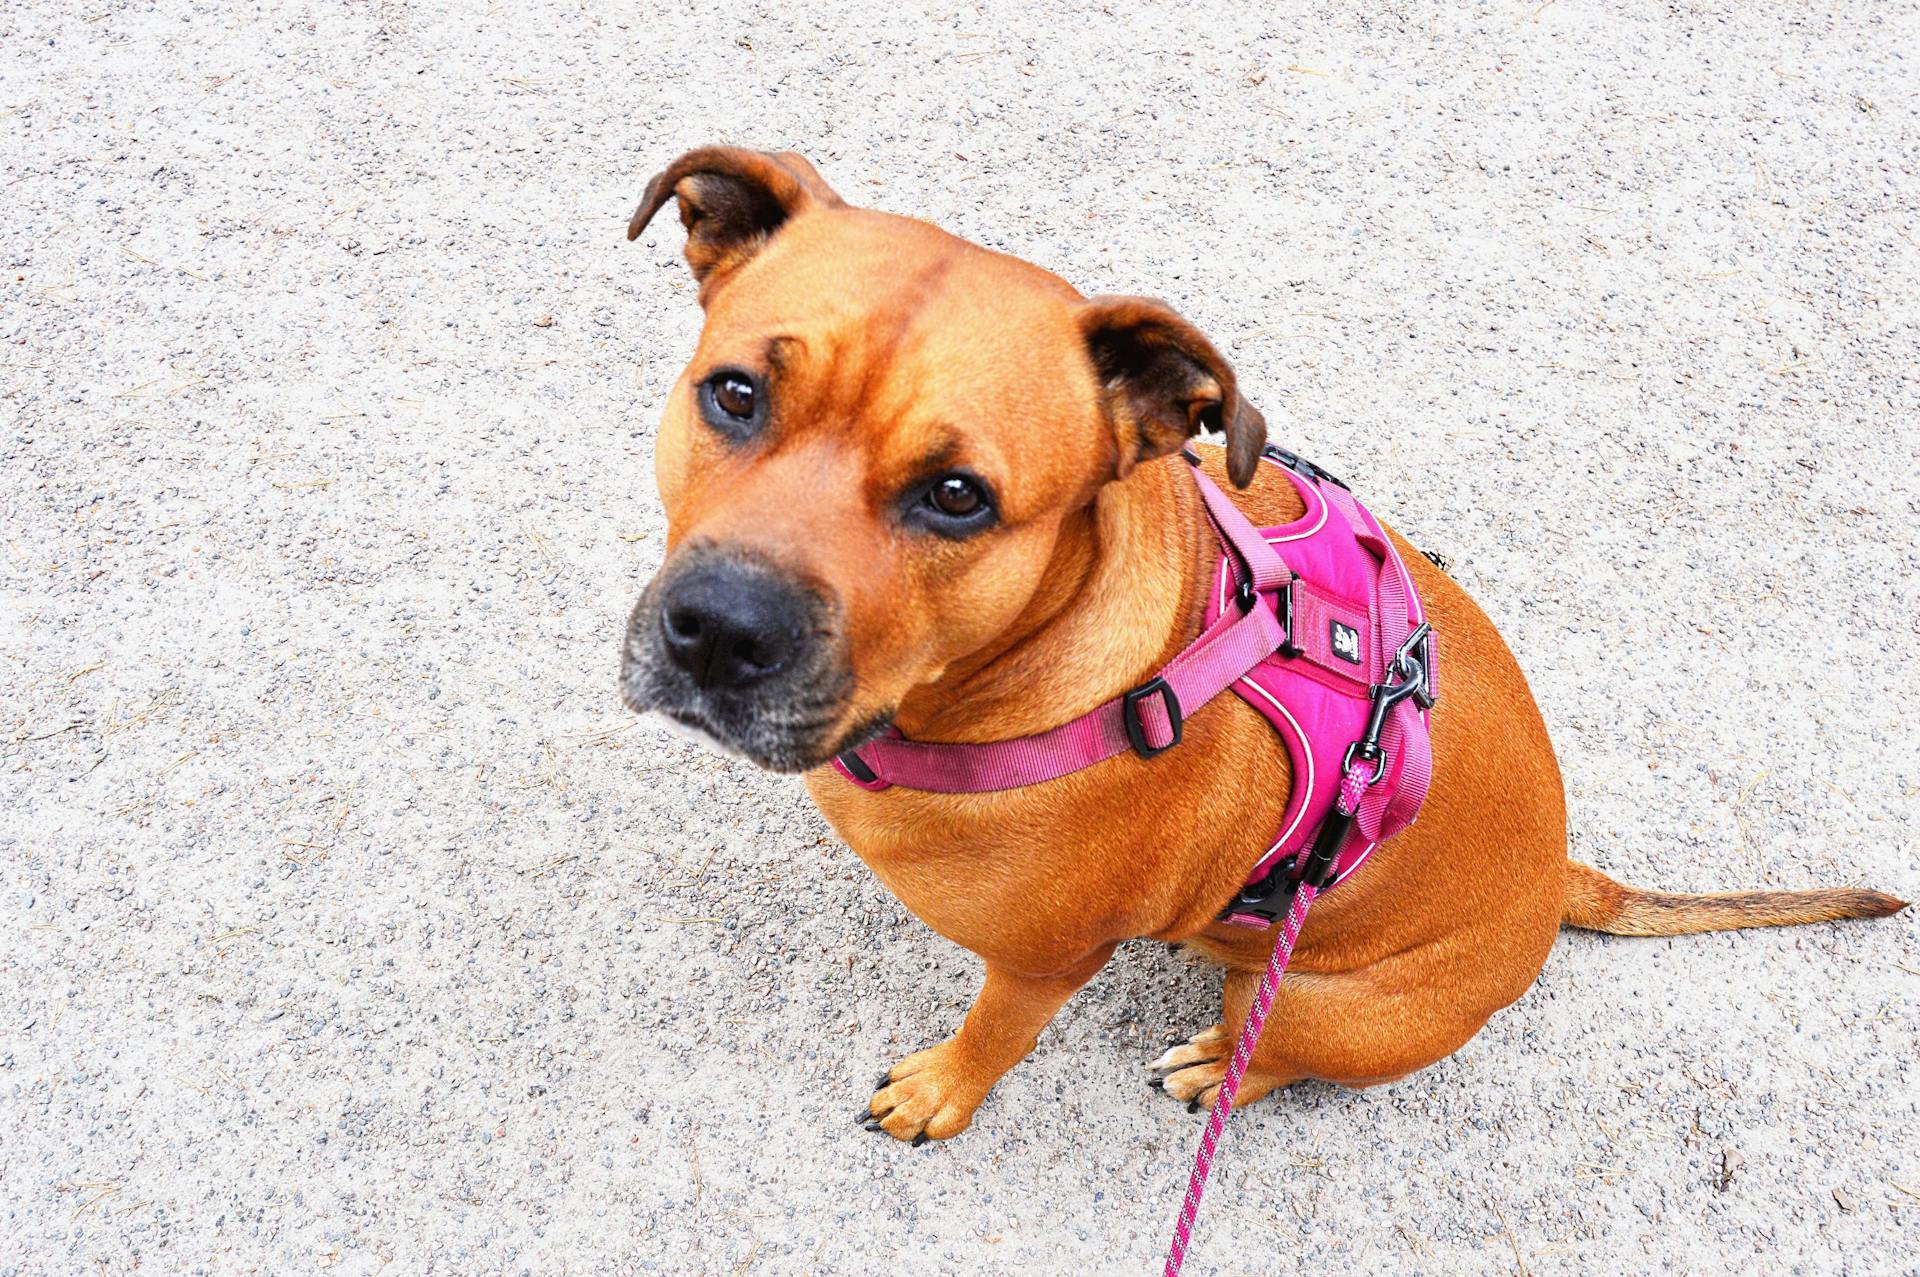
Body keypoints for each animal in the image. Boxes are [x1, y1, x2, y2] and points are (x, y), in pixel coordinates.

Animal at [618, 144, 1904, 1136]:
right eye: (735, 394)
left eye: (956, 496)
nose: (718, 632)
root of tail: (1558, 884)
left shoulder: (1044, 963)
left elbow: (994, 1033)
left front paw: (943, 1089)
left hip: (1320, 1003)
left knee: (1266, 1043)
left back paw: (1216, 1063)